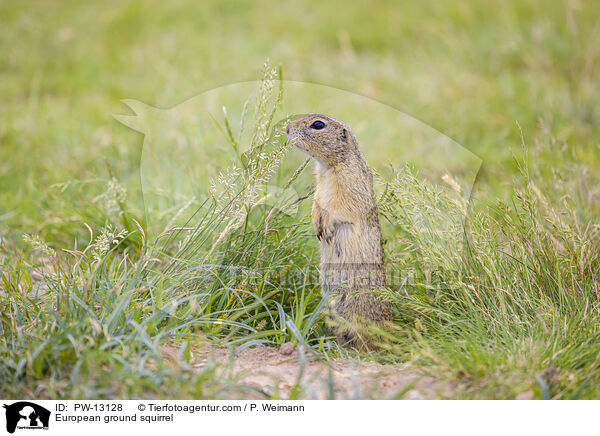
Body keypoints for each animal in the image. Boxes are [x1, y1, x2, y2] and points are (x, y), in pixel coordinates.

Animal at [286, 113, 394, 350]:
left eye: (318, 125)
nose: (287, 128)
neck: (328, 168)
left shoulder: (350, 186)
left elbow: (340, 208)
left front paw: (325, 227)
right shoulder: (319, 185)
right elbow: (317, 202)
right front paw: (316, 224)